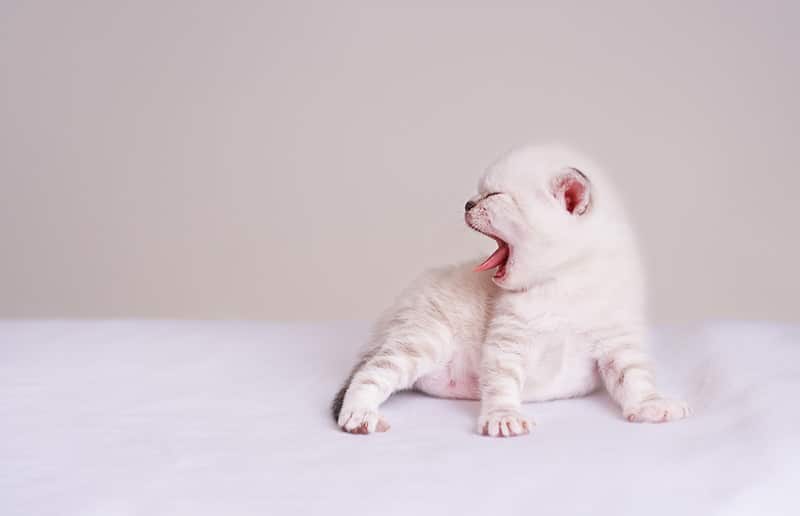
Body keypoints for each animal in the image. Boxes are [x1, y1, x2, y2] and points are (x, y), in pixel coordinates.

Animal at [330, 144, 688, 436]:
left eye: (494, 196)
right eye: (479, 195)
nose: (467, 204)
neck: (563, 282)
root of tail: (395, 311)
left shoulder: (618, 339)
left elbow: (635, 376)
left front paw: (651, 405)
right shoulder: (508, 339)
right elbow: (501, 382)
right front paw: (503, 416)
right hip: (423, 338)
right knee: (370, 373)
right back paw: (359, 415)